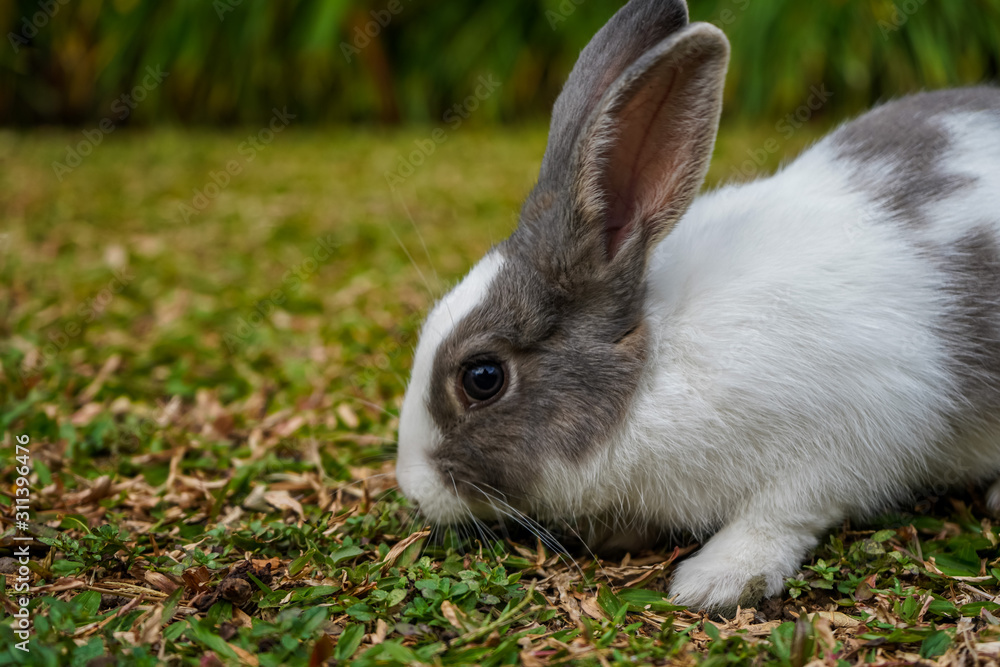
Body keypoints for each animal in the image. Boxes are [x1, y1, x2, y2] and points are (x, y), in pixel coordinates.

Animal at [395, 0, 1000, 614]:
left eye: (483, 377)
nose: (413, 490)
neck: (655, 369)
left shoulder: (846, 441)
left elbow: (780, 516)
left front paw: (715, 580)